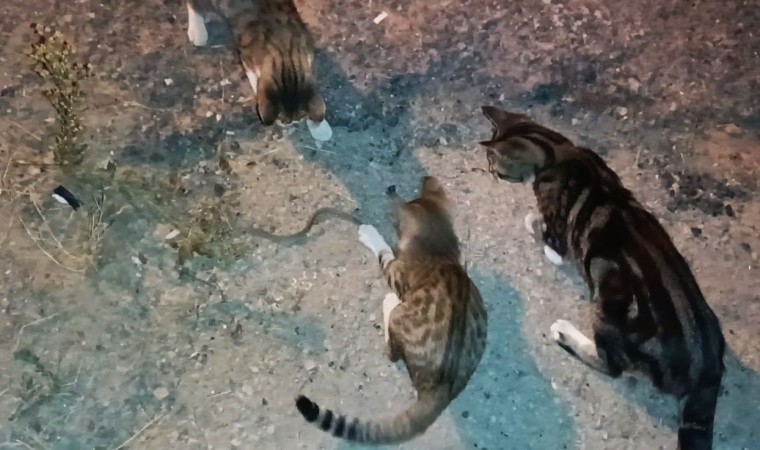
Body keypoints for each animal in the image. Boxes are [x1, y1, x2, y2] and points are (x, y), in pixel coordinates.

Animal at [184, 0, 332, 140]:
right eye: (282, 118)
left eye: (298, 117)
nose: (288, 123)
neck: (285, 54)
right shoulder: (247, 57)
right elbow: (256, 81)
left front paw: (320, 127)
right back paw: (198, 29)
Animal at [295, 176, 488, 444]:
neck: (438, 248)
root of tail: (442, 389)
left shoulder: (396, 272)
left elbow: (385, 253)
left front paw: (371, 234)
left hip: (400, 319)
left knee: (392, 351)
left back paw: (389, 302)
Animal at [480, 106, 726, 450]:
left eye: (494, 163)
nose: (488, 170)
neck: (560, 151)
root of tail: (706, 369)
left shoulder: (558, 235)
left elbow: (542, 231)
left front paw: (535, 226)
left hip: (608, 304)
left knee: (611, 365)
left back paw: (565, 333)